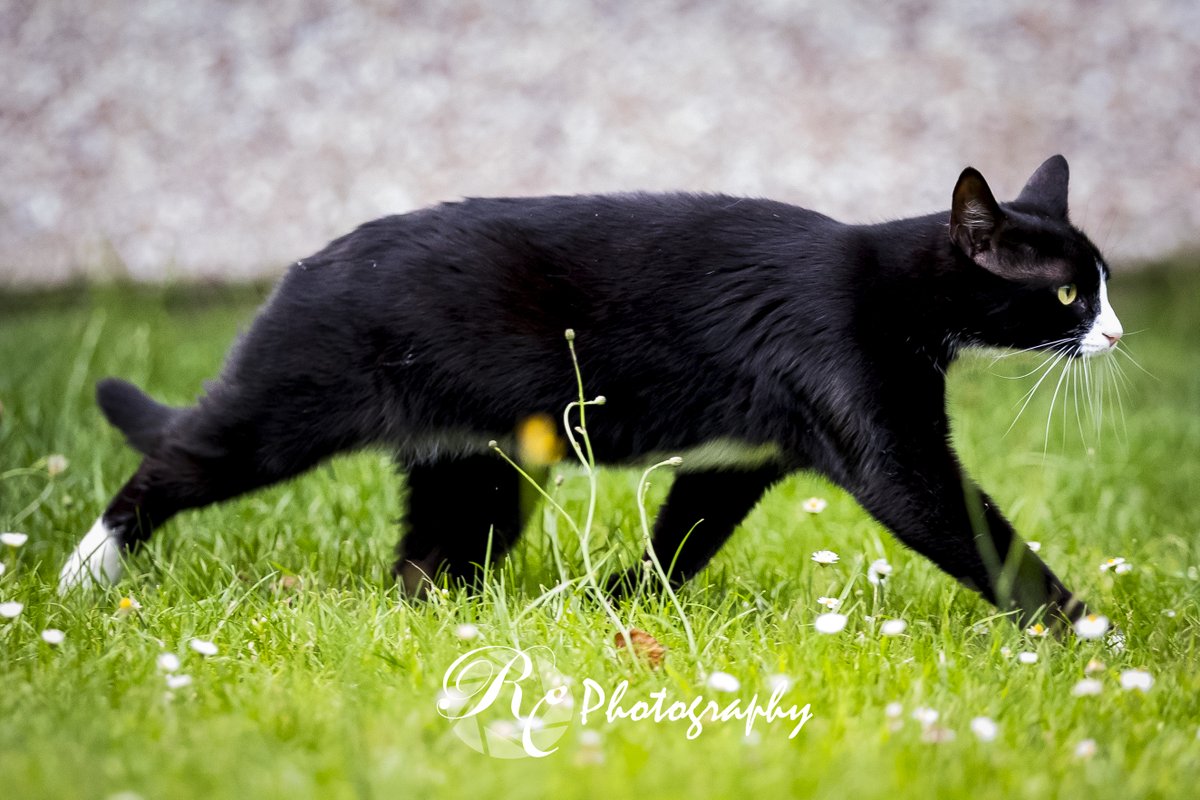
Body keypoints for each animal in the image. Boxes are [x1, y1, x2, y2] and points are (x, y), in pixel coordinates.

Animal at [58, 155, 1123, 633]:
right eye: (1070, 294)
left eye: (1101, 286)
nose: (1116, 332)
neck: (892, 287)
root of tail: (305, 265)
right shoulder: (885, 438)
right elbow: (968, 524)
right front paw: (1090, 636)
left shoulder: (739, 463)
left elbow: (684, 540)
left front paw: (617, 607)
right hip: (292, 402)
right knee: (178, 459)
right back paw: (81, 576)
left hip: (473, 466)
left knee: (431, 551)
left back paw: (445, 622)